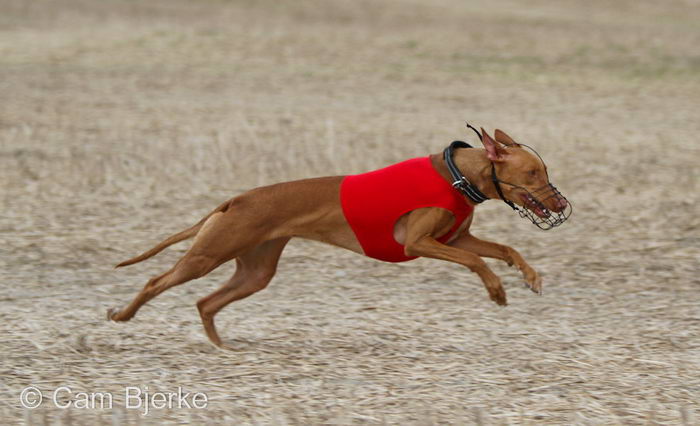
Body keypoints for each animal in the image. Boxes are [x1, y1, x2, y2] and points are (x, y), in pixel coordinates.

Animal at [108, 126, 568, 346]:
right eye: (533, 173)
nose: (562, 203)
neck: (456, 176)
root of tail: (235, 199)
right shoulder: (419, 244)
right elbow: (476, 262)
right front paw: (496, 290)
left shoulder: (455, 241)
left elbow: (505, 248)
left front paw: (530, 276)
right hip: (208, 255)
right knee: (156, 281)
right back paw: (123, 316)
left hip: (255, 271)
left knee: (206, 302)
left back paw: (220, 345)